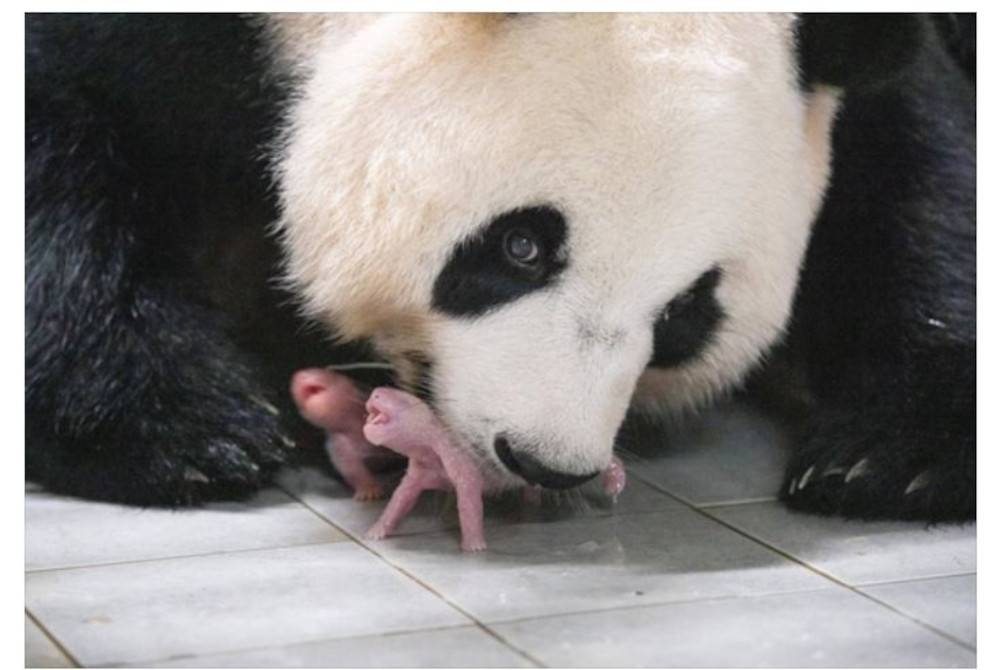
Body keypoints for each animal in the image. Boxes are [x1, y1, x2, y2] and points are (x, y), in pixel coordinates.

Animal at [25, 13, 976, 524]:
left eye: (686, 314)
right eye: (522, 246)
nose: (545, 461)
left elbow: (917, 176)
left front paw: (893, 458)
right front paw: (182, 430)